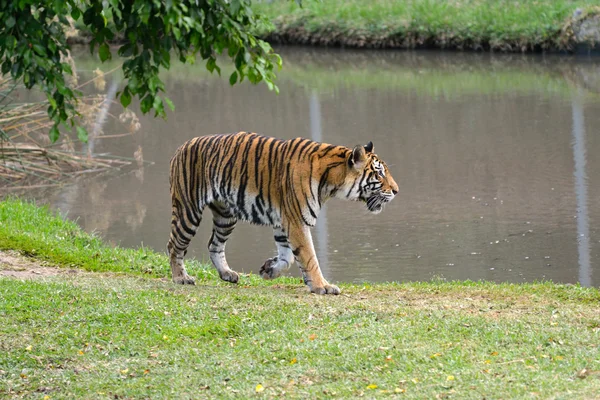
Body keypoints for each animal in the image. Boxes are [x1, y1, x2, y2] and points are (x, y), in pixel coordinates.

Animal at [166, 131, 396, 294]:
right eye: (379, 174)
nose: (396, 190)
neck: (331, 182)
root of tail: (182, 146)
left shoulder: (283, 222)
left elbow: (288, 258)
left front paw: (269, 270)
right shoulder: (296, 221)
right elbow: (309, 257)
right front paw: (322, 286)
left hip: (226, 216)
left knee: (214, 244)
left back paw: (227, 274)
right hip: (188, 210)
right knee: (174, 246)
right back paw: (181, 278)